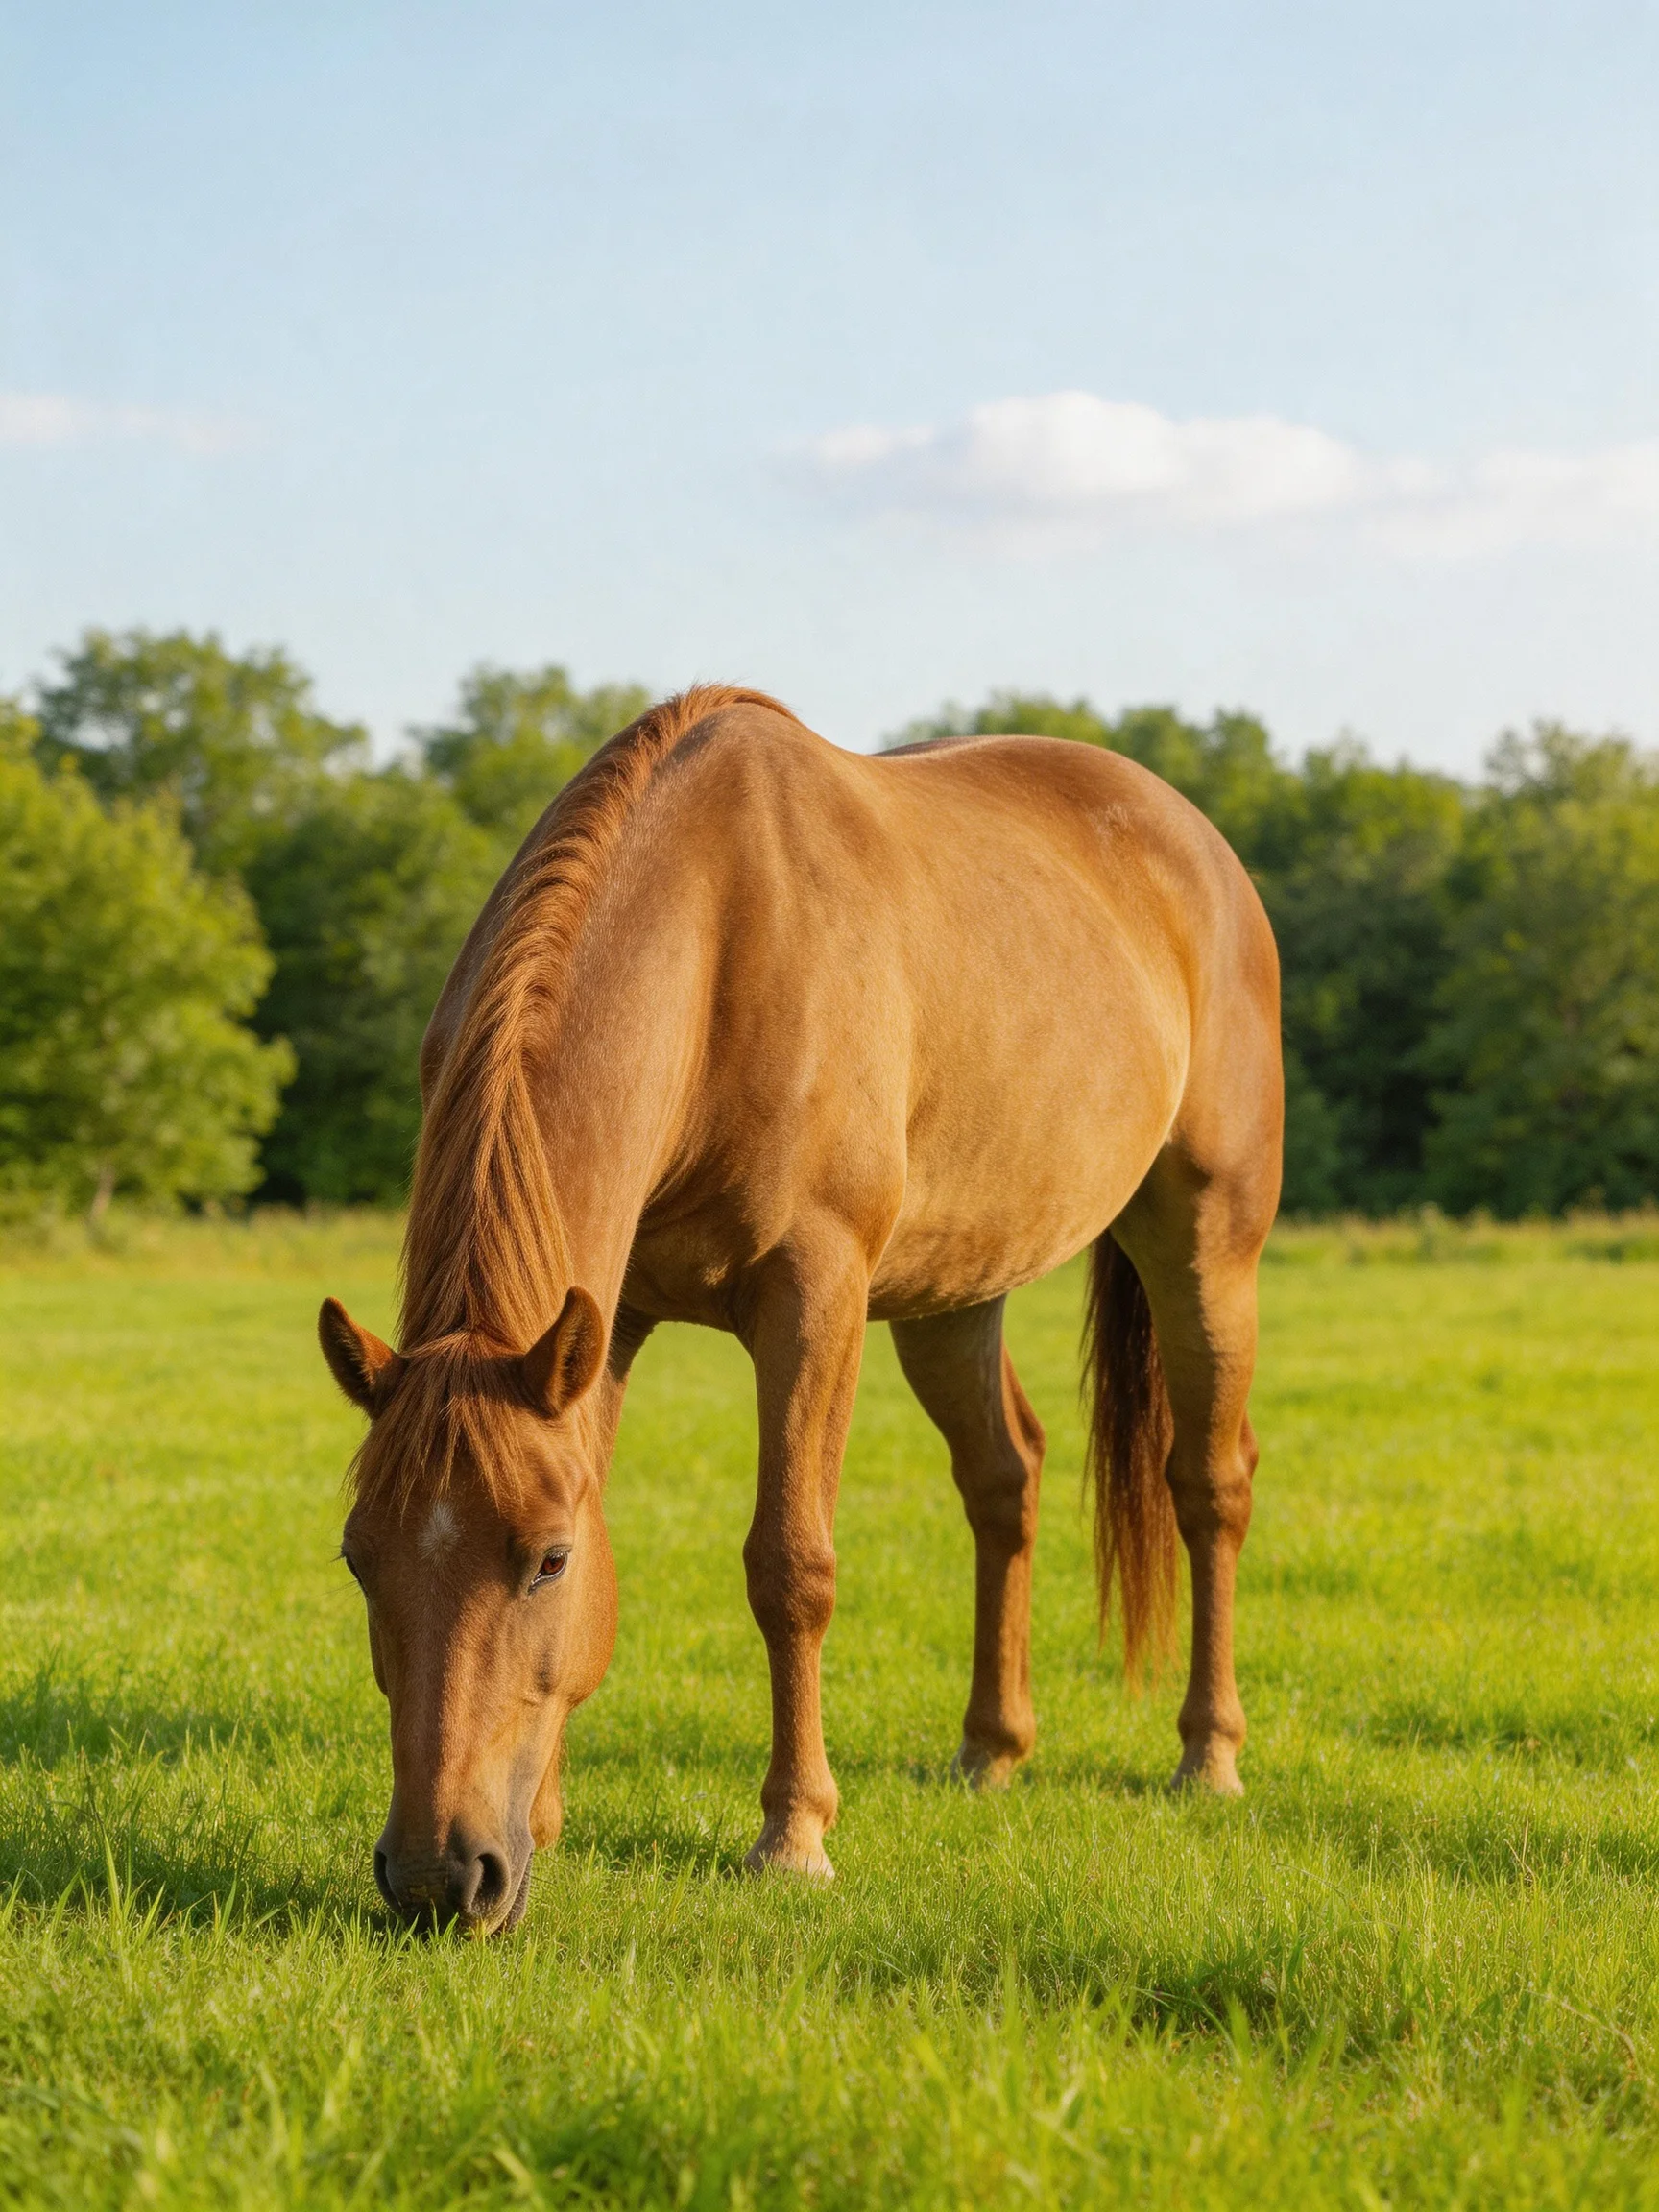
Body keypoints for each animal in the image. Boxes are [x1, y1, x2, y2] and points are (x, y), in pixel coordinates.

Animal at [319, 686, 1281, 1933]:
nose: (441, 1876)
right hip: (955, 1293)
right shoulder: (608, 1324)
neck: (721, 941)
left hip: (1206, 1244)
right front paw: (549, 1823)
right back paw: (991, 1748)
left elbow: (791, 1566)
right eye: (357, 1558)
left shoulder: (813, 1295)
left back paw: (1207, 1756)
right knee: (1004, 1478)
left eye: (548, 1561)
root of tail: (1195, 841)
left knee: (1208, 1485)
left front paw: (794, 1835)